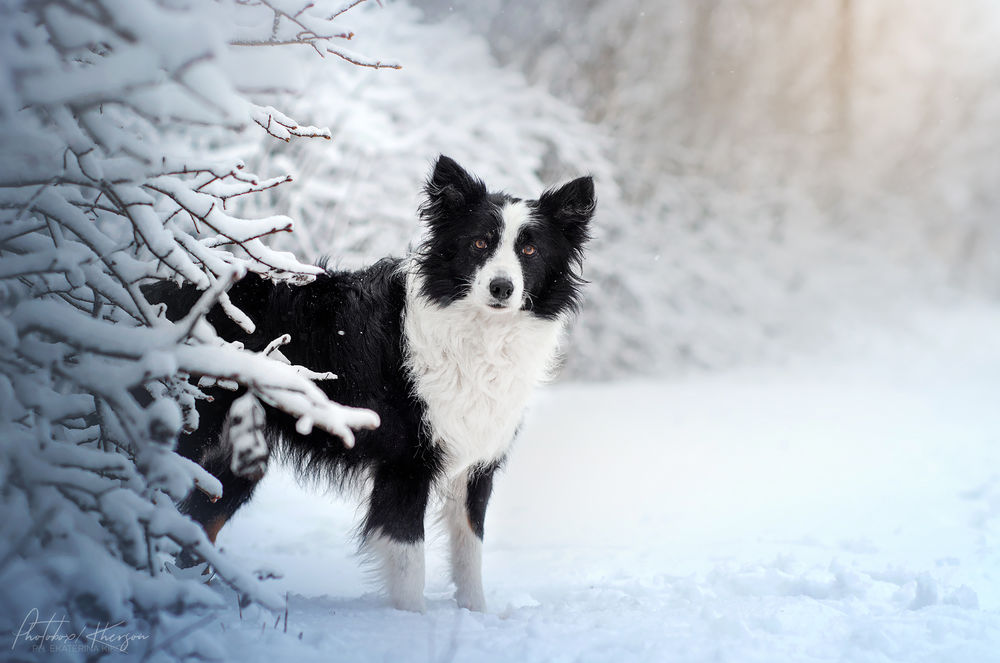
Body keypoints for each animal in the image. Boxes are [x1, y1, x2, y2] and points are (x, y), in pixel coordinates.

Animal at [153, 156, 592, 612]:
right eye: (479, 244)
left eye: (529, 250)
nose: (502, 287)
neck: (479, 332)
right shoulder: (405, 465)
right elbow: (410, 565)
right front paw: (410, 622)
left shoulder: (475, 465)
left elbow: (470, 553)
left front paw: (475, 616)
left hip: (231, 462)